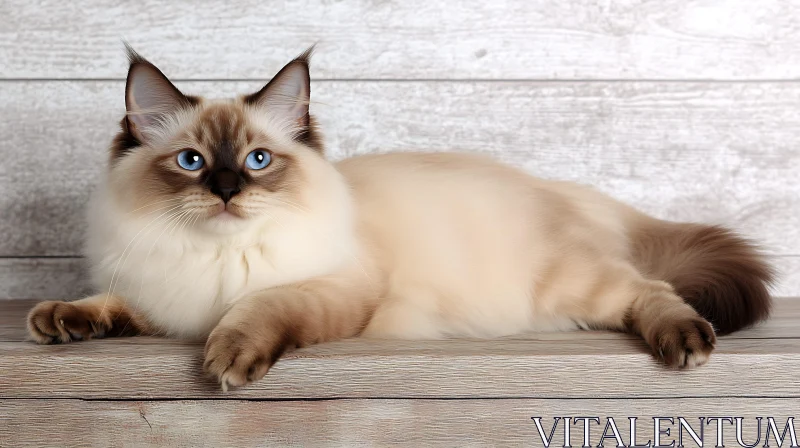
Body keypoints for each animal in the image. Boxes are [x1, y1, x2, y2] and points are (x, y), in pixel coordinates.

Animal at [28, 45, 772, 388]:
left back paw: (687, 342)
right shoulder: (161, 298)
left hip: (578, 288)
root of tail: (559, 186)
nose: (228, 189)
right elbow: (108, 304)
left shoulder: (330, 290)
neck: (215, 258)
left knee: (655, 293)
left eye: (259, 160)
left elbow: (258, 309)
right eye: (190, 162)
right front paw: (58, 321)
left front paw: (230, 357)